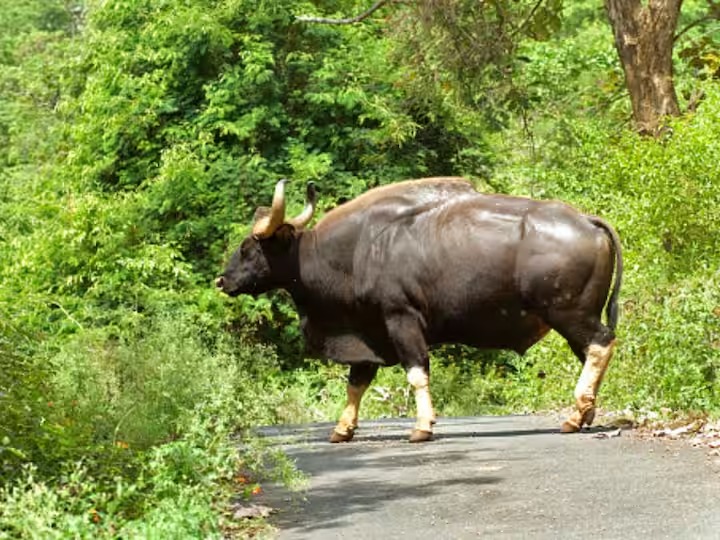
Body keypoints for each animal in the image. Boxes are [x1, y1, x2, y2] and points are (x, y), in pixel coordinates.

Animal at [217, 177, 620, 442]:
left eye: (249, 248)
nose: (222, 280)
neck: (356, 252)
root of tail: (587, 221)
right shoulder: (370, 332)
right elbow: (357, 382)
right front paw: (343, 428)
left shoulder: (401, 320)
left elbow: (416, 373)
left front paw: (422, 426)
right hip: (574, 318)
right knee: (591, 352)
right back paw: (585, 413)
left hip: (570, 315)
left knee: (601, 344)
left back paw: (574, 415)